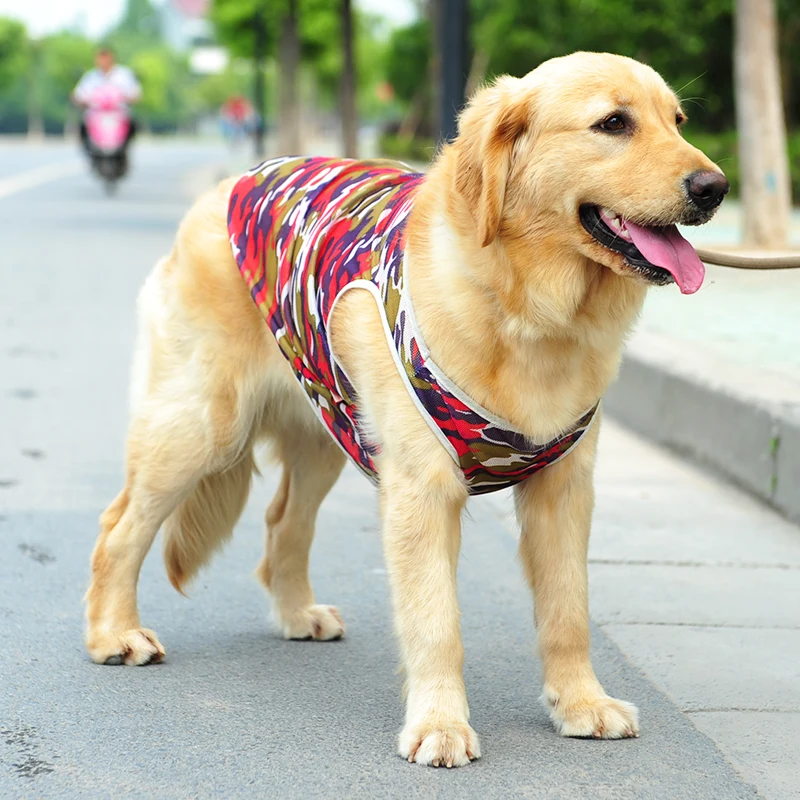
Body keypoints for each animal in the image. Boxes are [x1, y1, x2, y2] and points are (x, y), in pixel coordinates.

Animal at [84, 53, 728, 764]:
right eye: (614, 123)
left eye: (678, 121)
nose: (716, 187)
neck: (525, 308)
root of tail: (229, 185)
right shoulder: (423, 489)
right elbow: (436, 620)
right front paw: (440, 723)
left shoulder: (564, 486)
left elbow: (569, 611)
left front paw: (581, 703)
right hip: (203, 424)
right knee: (119, 526)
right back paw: (114, 634)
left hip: (327, 430)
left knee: (283, 522)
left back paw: (295, 613)